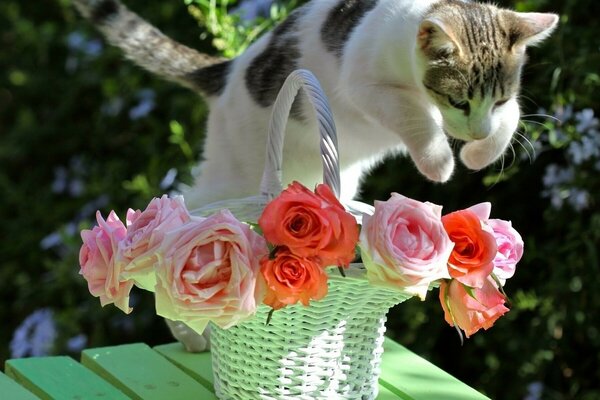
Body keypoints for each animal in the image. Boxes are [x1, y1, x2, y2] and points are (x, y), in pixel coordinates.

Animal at [74, 0, 556, 208]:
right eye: (457, 100)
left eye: (497, 98)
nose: (474, 132)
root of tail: (228, 70)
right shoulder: (364, 85)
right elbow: (414, 115)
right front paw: (439, 162)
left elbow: (513, 119)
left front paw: (481, 152)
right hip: (237, 174)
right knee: (189, 202)